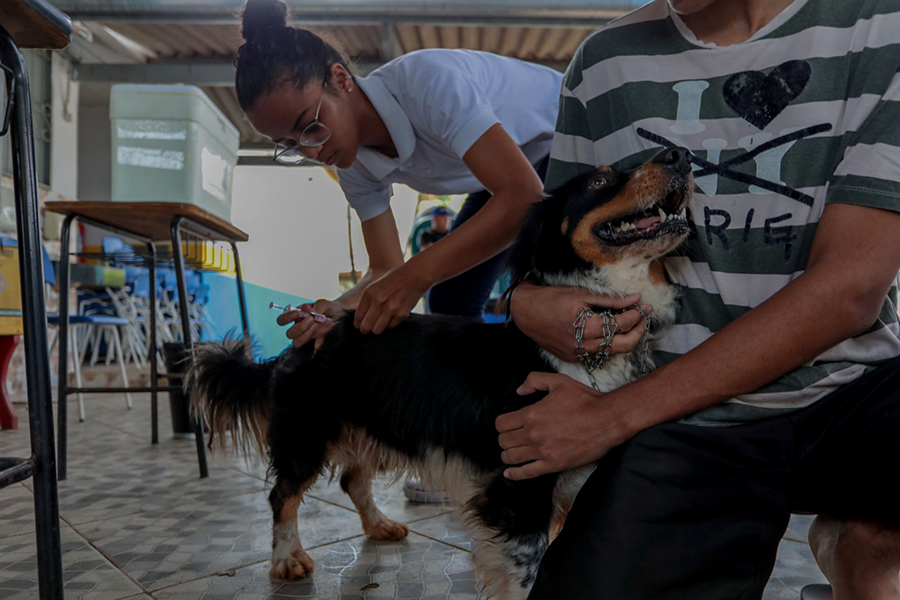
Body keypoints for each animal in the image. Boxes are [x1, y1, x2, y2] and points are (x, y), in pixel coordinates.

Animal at [190, 146, 692, 600]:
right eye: (599, 181)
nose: (680, 155)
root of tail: (308, 333)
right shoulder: (519, 488)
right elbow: (528, 578)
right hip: (307, 432)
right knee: (283, 495)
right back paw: (286, 559)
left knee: (352, 480)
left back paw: (379, 525)